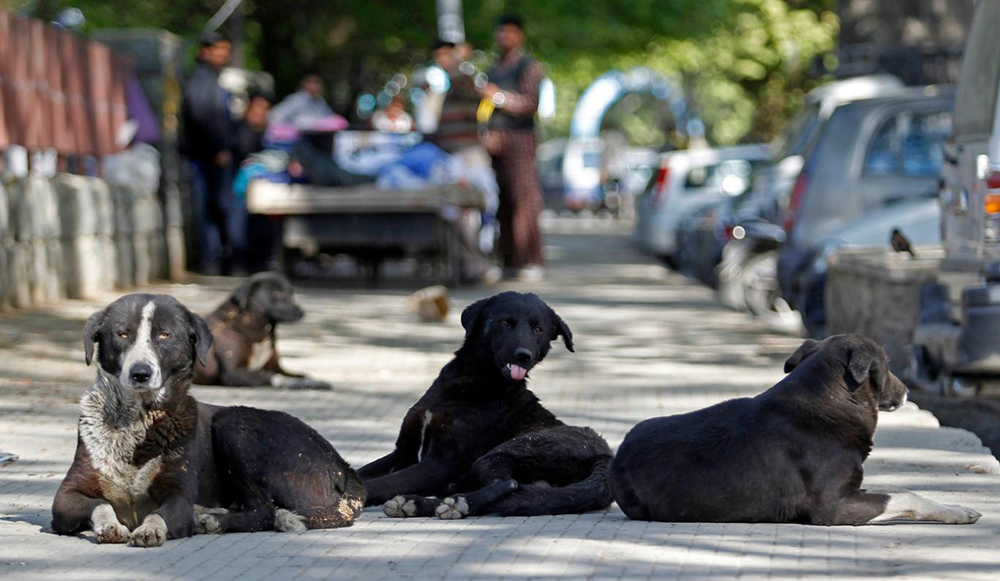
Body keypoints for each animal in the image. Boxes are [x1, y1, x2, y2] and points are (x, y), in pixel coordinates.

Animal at [50, 292, 364, 548]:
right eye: (122, 334)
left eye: (165, 335)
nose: (140, 373)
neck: (137, 420)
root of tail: (343, 466)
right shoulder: (65, 497)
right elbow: (101, 504)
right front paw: (110, 525)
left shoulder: (178, 496)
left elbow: (159, 514)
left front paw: (151, 529)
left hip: (232, 423)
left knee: (264, 511)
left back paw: (212, 519)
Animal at [195, 272, 332, 390]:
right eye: (277, 293)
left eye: (291, 293)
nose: (301, 312)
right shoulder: (233, 373)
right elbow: (272, 377)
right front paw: (293, 383)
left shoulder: (276, 367)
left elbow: (301, 375)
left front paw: (313, 382)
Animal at [356, 292, 612, 520]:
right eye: (505, 322)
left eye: (538, 330)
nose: (524, 356)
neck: (472, 384)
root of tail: (605, 457)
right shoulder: (403, 452)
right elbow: (360, 472)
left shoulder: (440, 465)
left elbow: (379, 483)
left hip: (509, 450)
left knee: (508, 483)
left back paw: (451, 504)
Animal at [604, 330, 980, 524]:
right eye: (886, 365)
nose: (907, 392)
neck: (828, 400)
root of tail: (616, 458)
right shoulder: (832, 508)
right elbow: (906, 494)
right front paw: (955, 511)